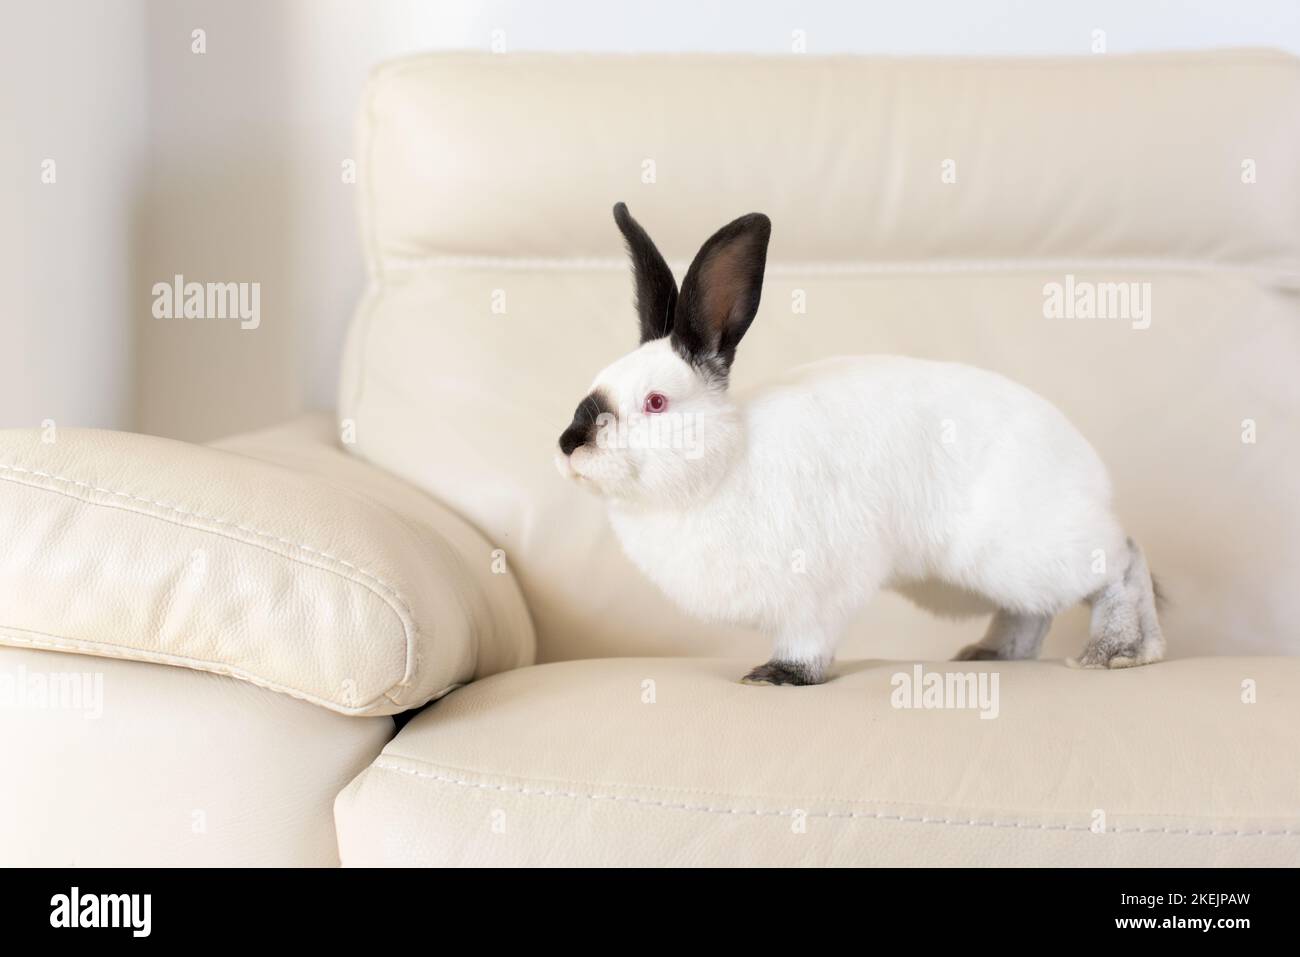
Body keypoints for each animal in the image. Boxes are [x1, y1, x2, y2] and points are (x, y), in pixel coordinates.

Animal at [553, 201, 1164, 686]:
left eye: (655, 402)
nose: (568, 442)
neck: (723, 464)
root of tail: (1089, 469)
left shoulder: (816, 589)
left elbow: (809, 639)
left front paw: (778, 675)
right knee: (1034, 610)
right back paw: (989, 654)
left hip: (1024, 549)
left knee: (1122, 563)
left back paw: (1121, 652)